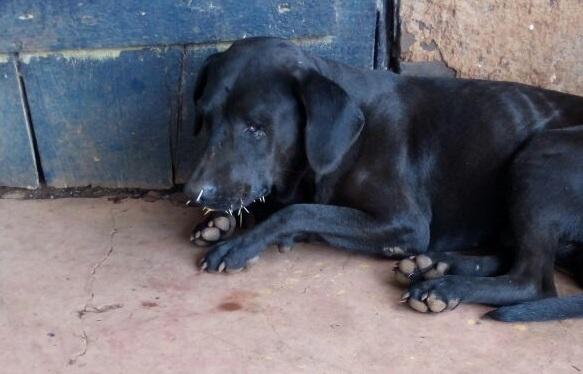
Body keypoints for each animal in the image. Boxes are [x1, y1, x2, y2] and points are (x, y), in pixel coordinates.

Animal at [184, 37, 583, 322]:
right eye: (206, 117)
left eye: (256, 127)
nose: (195, 192)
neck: (348, 140)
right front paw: (221, 222)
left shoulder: (405, 223)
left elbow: (300, 211)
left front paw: (242, 244)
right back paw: (433, 266)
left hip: (540, 158)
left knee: (532, 281)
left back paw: (444, 286)